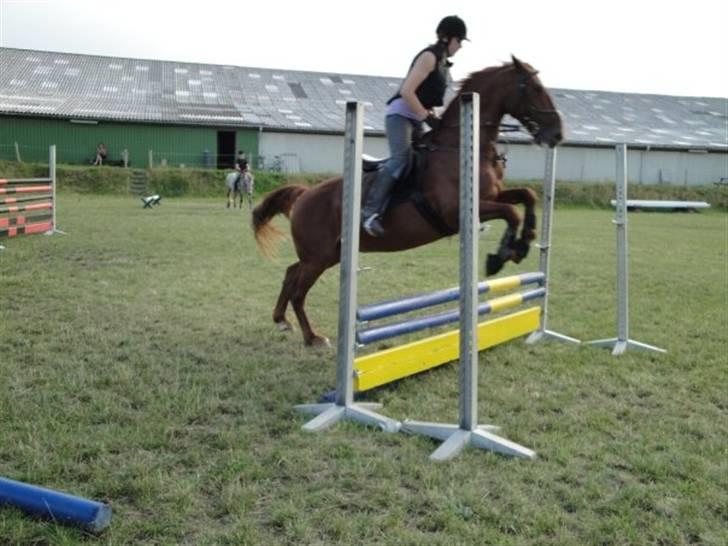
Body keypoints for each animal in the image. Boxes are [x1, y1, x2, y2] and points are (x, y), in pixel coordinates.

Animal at [253, 55, 564, 344]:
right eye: (536, 88)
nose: (558, 133)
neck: (463, 148)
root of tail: (305, 194)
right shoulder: (457, 212)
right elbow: (512, 212)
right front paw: (501, 256)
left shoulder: (491, 196)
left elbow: (526, 197)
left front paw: (524, 242)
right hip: (319, 257)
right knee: (298, 291)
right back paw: (313, 337)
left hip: (326, 255)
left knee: (291, 272)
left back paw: (281, 321)